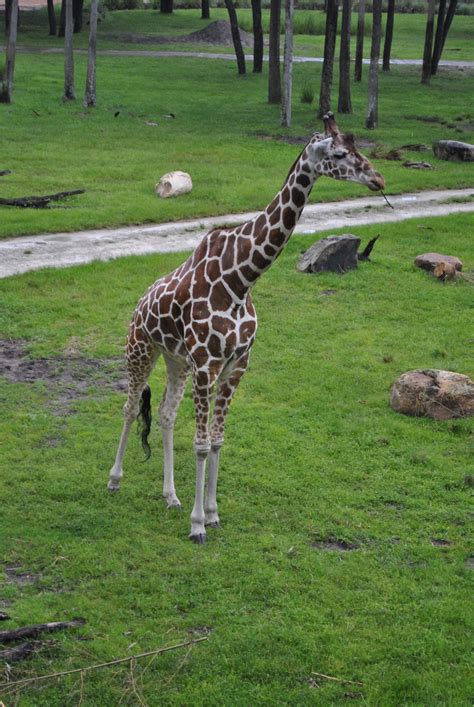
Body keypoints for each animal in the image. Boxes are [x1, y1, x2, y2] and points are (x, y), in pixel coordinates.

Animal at [107, 112, 386, 544]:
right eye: (340, 153)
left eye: (358, 147)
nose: (378, 179)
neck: (241, 279)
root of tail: (139, 303)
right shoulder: (207, 363)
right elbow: (201, 443)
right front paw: (197, 526)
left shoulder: (236, 363)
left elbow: (218, 441)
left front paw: (211, 513)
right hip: (140, 348)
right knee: (130, 406)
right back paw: (115, 480)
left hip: (176, 360)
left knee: (166, 414)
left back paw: (171, 496)